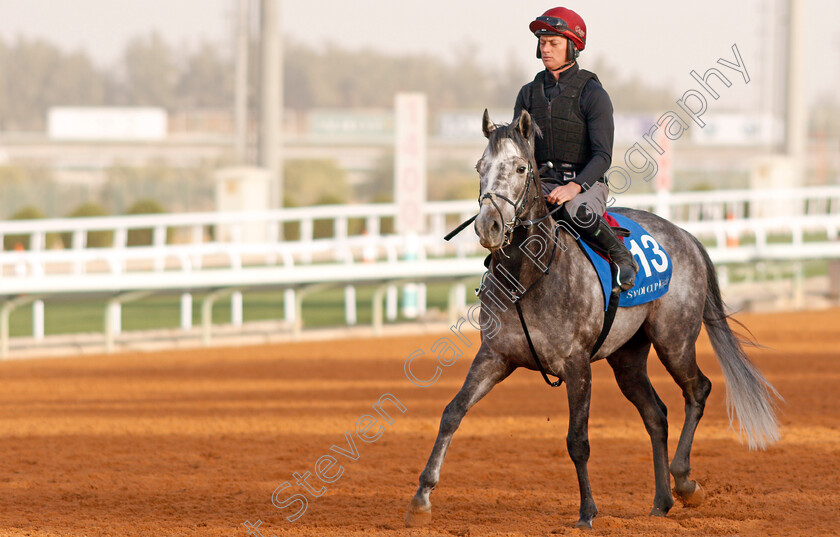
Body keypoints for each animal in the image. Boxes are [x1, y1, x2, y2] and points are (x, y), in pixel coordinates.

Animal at [404, 109, 776, 528]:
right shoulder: (495, 356)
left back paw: (685, 484)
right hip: (627, 357)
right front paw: (421, 498)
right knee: (656, 414)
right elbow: (452, 413)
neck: (530, 275)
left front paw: (586, 512)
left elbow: (577, 440)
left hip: (674, 340)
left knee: (698, 390)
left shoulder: (577, 364)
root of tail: (685, 235)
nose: (489, 226)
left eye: (520, 167)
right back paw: (661, 500)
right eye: (480, 167)